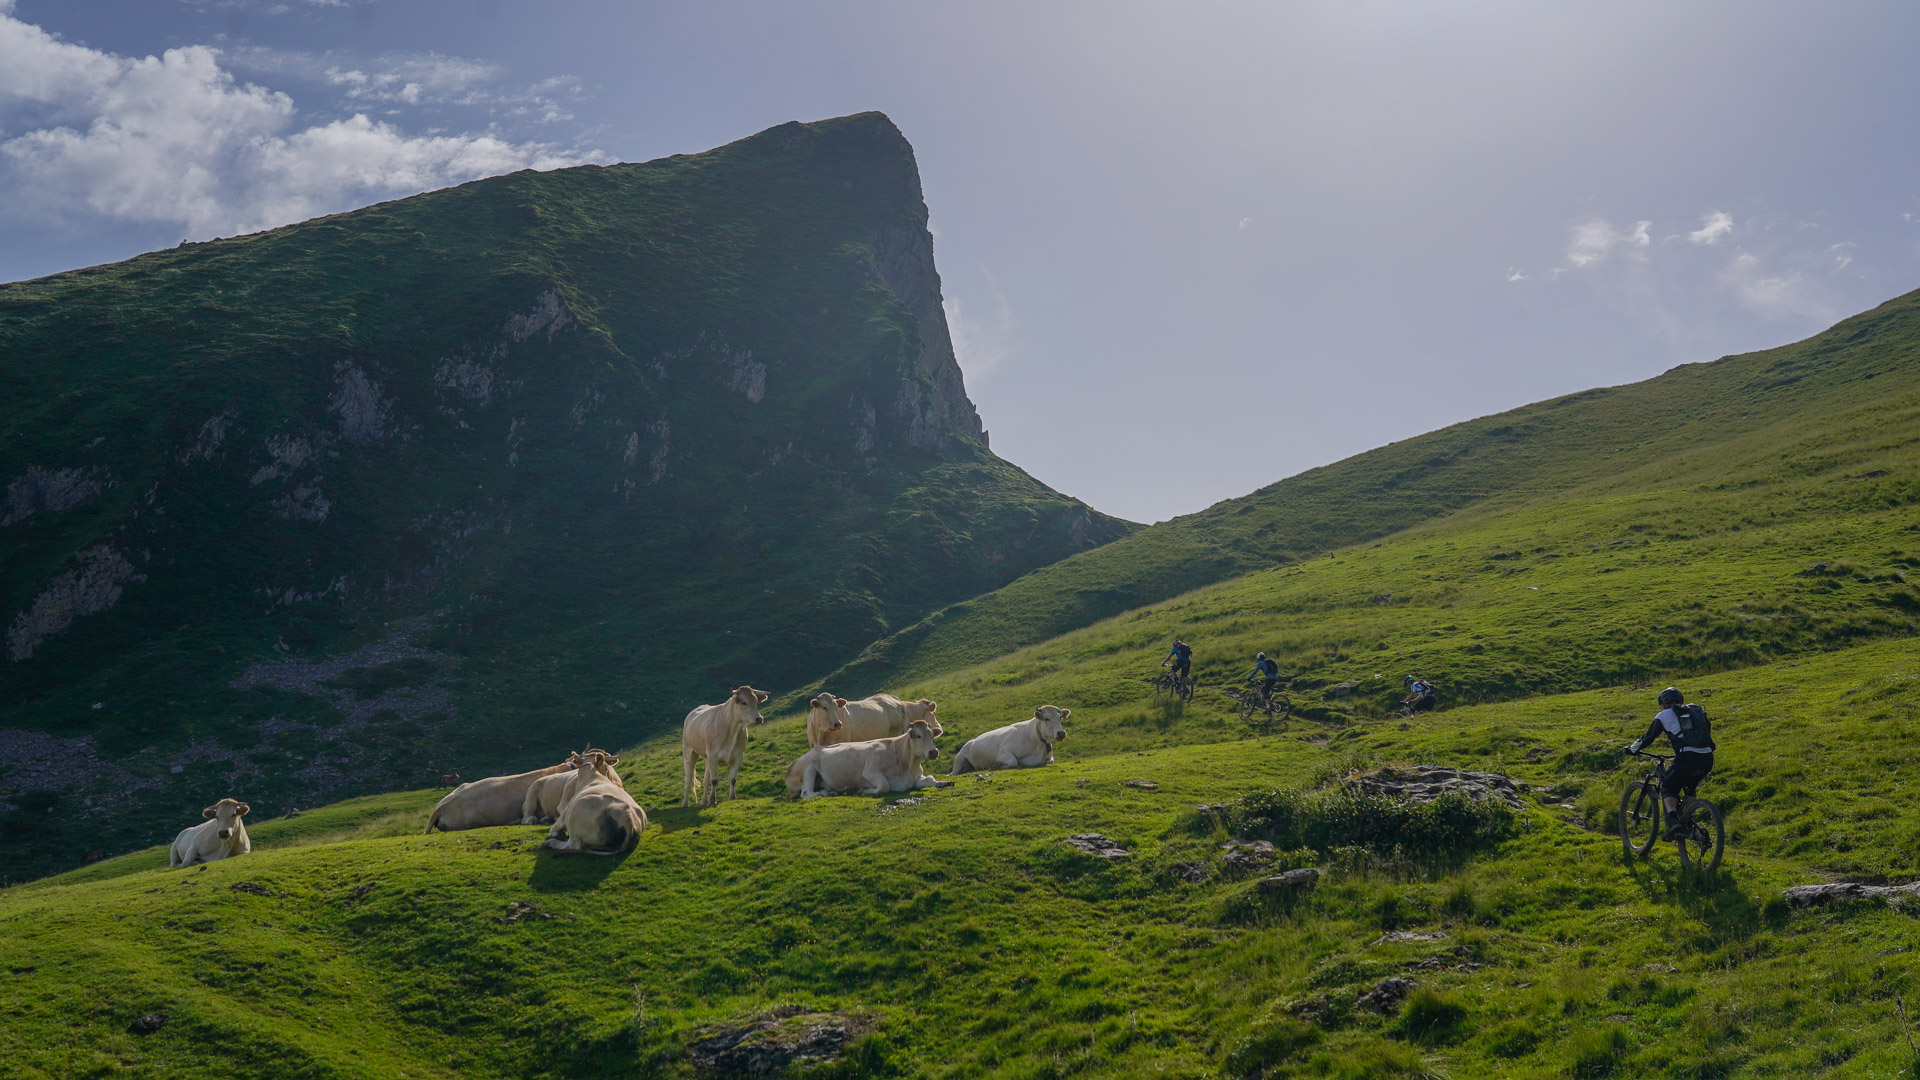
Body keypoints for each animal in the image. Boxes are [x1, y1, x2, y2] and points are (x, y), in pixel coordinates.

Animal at [783, 718, 940, 795]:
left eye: (931, 734)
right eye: (918, 736)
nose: (933, 752)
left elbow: (929, 779)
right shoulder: (870, 771)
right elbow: (884, 786)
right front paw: (864, 791)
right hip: (808, 768)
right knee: (806, 793)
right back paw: (826, 792)